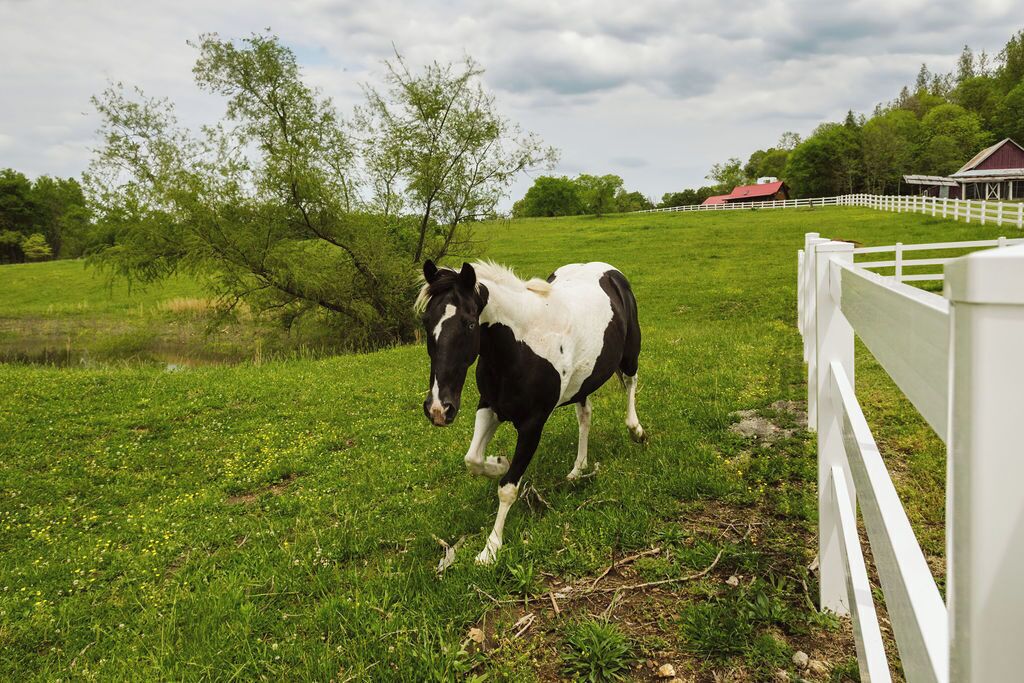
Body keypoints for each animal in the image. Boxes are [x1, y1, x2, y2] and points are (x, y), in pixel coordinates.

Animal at [416, 259, 645, 564]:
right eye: (426, 321)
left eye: (469, 323)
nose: (439, 409)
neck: (521, 345)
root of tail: (609, 270)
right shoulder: (489, 406)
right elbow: (472, 459)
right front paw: (498, 462)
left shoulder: (532, 424)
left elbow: (507, 488)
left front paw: (490, 549)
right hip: (582, 383)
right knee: (585, 416)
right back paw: (577, 469)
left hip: (630, 354)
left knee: (631, 382)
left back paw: (636, 430)